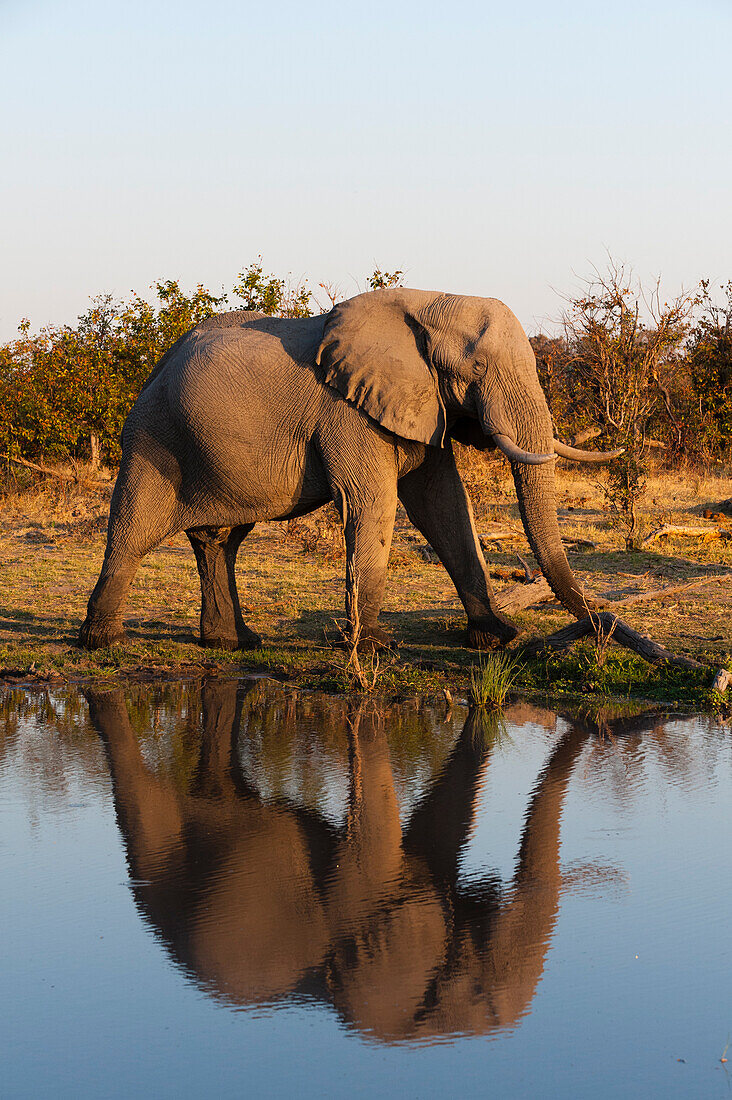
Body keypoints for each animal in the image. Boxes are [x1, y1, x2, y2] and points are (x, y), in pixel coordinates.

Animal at [79, 292, 616, 651]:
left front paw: (498, 636)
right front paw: (377, 645)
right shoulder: (349, 412)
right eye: (478, 368)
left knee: (220, 541)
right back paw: (103, 641)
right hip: (153, 436)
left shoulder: (422, 403)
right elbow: (373, 503)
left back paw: (234, 643)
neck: (427, 302)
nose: (603, 625)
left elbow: (444, 506)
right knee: (133, 531)